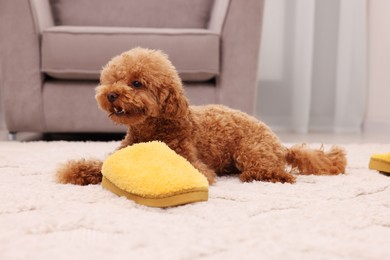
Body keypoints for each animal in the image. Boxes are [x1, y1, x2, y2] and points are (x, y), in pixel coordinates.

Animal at [55, 46, 348, 185]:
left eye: (136, 83)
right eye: (112, 80)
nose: (111, 95)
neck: (153, 129)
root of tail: (280, 145)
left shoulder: (193, 163)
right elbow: (99, 165)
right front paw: (75, 171)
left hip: (251, 151)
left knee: (277, 172)